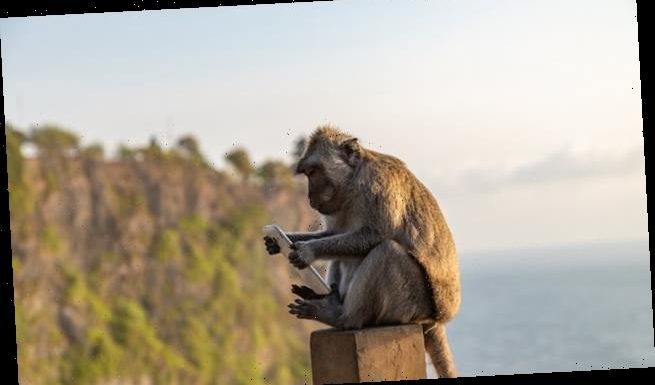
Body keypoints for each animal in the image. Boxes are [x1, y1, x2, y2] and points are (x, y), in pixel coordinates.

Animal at [262, 124, 462, 376]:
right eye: (306, 173)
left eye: (314, 172)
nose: (309, 196)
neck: (353, 181)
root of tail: (435, 319)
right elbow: (333, 234)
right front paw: (281, 240)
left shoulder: (378, 185)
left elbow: (378, 235)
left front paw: (307, 251)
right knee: (342, 257)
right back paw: (327, 299)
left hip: (411, 306)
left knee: (387, 252)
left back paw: (341, 317)